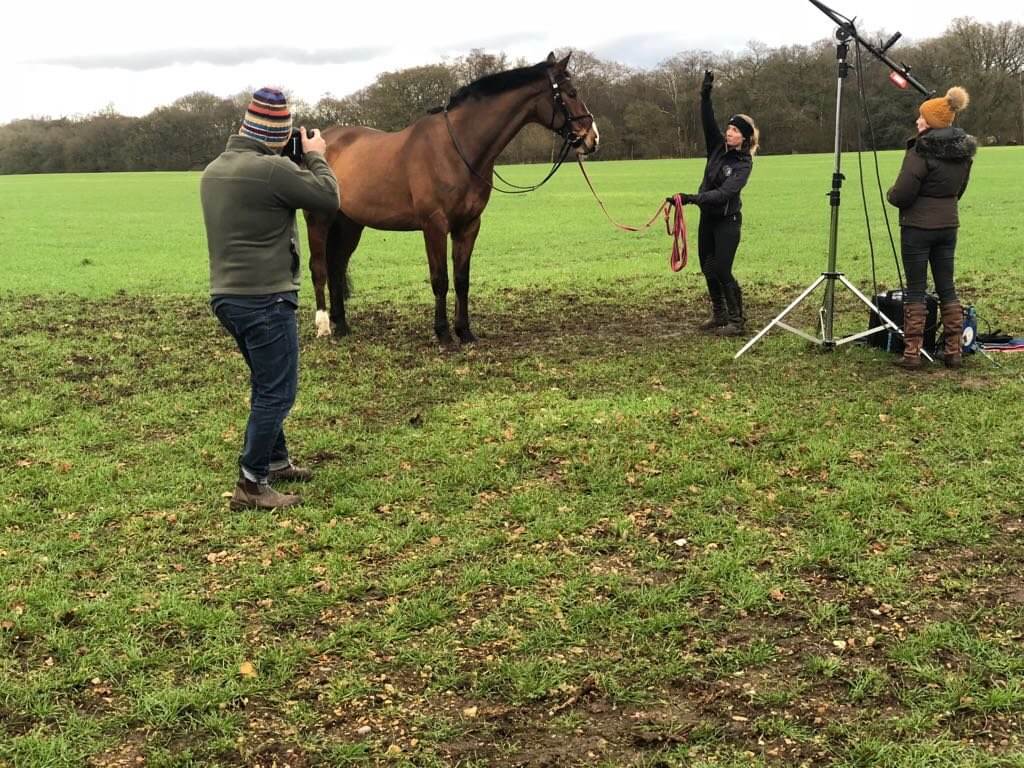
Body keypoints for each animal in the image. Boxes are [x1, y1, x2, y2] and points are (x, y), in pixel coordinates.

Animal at [304, 52, 600, 342]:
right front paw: (443, 333)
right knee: (319, 268)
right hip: (319, 220)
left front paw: (464, 331)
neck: (458, 149)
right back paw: (324, 327)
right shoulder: (434, 225)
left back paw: (342, 326)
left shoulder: (468, 225)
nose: (592, 138)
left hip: (350, 224)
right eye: (571, 93)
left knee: (337, 267)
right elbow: (440, 279)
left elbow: (461, 279)